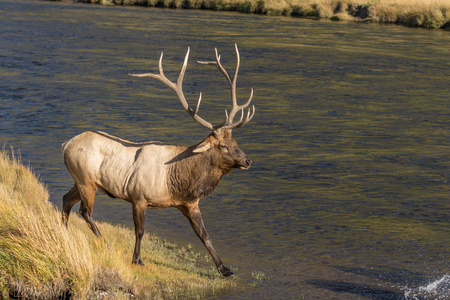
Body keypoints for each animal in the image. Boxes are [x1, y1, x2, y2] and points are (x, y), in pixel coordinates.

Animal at [61, 44, 255, 276]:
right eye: (223, 146)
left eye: (235, 141)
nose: (247, 161)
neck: (179, 182)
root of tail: (65, 144)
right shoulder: (138, 196)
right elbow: (140, 231)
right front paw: (137, 259)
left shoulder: (190, 204)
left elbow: (205, 236)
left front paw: (225, 269)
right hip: (86, 180)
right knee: (85, 212)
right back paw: (105, 244)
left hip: (79, 180)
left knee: (65, 199)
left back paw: (63, 231)